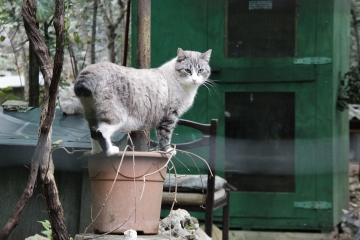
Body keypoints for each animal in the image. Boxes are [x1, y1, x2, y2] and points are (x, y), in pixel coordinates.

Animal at [75, 48, 212, 157]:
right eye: (188, 70)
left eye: (200, 70)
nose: (194, 79)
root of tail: (90, 70)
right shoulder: (169, 116)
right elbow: (165, 136)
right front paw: (168, 151)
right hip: (116, 116)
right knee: (101, 131)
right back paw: (111, 151)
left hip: (92, 113)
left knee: (93, 132)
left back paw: (96, 152)